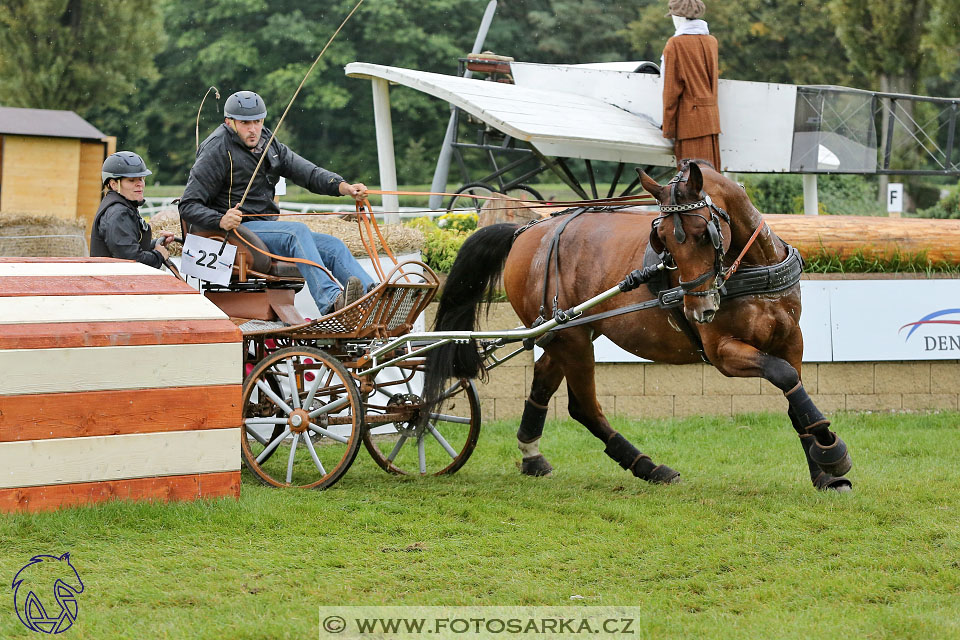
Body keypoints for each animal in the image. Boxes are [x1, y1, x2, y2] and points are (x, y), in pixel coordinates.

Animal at [424, 160, 852, 490]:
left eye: (704, 233)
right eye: (662, 238)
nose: (699, 310)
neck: (750, 269)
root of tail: (524, 232)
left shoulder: (791, 339)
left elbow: (793, 394)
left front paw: (824, 469)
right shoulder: (723, 353)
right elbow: (782, 376)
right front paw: (832, 450)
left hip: (568, 331)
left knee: (545, 379)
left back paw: (533, 456)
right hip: (572, 339)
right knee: (584, 407)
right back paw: (648, 466)